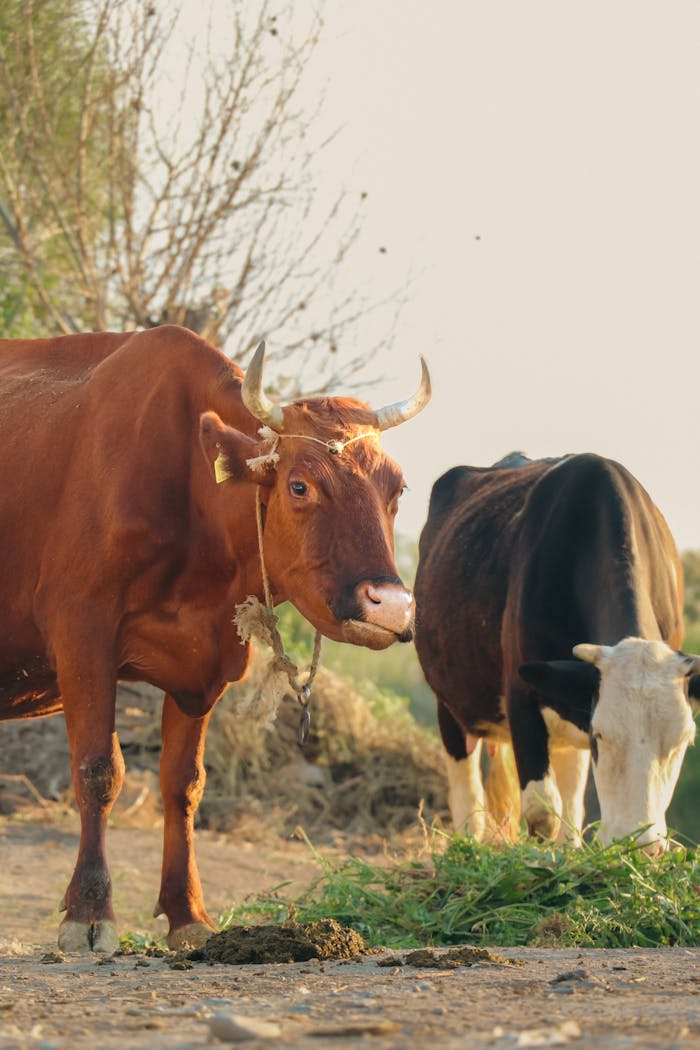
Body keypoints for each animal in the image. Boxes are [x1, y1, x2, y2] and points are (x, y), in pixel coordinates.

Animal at [0, 325, 431, 951]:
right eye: (299, 485)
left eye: (396, 487)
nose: (391, 604)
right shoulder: (82, 635)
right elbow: (98, 770)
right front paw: (89, 911)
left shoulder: (204, 668)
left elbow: (184, 784)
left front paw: (187, 913)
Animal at [414, 452, 699, 854]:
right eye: (601, 735)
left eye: (683, 742)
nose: (639, 844)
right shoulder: (521, 694)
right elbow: (541, 812)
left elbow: (567, 810)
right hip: (450, 702)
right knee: (467, 796)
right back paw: (467, 848)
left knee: (571, 801)